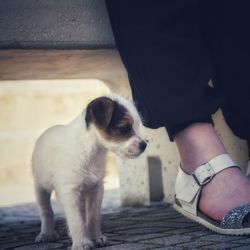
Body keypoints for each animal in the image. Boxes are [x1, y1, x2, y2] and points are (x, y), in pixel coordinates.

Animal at [32, 94, 147, 249]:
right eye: (124, 128)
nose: (144, 145)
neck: (90, 151)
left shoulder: (96, 188)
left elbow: (92, 216)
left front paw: (96, 237)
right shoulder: (70, 192)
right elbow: (76, 220)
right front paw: (82, 242)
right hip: (40, 187)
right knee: (46, 211)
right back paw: (46, 233)